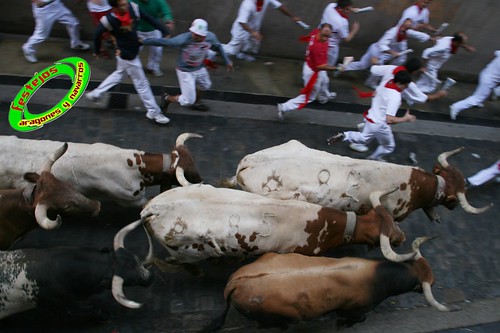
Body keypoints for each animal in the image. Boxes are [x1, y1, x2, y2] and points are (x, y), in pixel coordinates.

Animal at [0, 218, 153, 320]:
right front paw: (105, 315)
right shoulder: (66, 306)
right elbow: (91, 311)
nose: (149, 277)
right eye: (130, 280)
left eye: (136, 260)